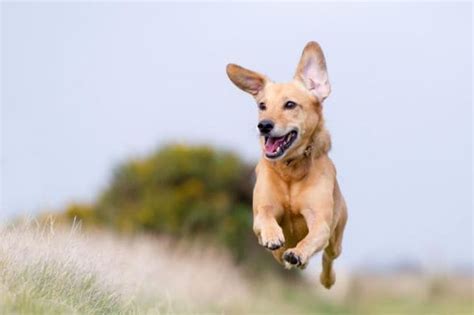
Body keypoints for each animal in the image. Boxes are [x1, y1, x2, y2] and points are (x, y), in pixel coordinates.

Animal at [226, 41, 348, 288]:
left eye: (290, 104)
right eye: (262, 105)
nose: (263, 125)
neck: (290, 170)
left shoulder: (320, 221)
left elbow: (311, 238)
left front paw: (298, 253)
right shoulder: (263, 209)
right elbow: (265, 216)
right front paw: (273, 235)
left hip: (336, 239)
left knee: (328, 258)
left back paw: (325, 278)